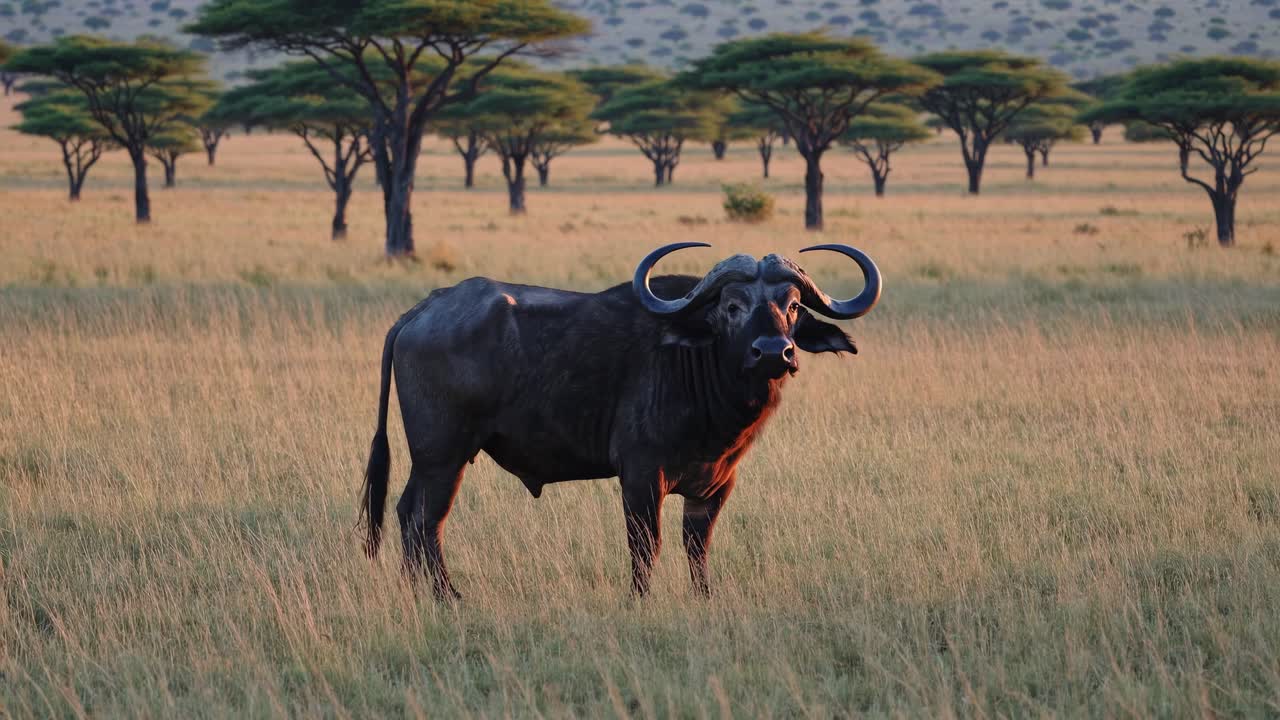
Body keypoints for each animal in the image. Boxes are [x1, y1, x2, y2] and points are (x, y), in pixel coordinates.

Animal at [360, 242, 881, 598]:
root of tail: (425, 307)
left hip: (430, 460)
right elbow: (645, 545)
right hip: (444, 456)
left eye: (792, 306)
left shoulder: (716, 485)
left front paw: (704, 597)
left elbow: (697, 546)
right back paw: (448, 596)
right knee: (426, 521)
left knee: (406, 513)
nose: (774, 352)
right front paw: (639, 599)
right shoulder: (641, 476)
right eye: (732, 307)